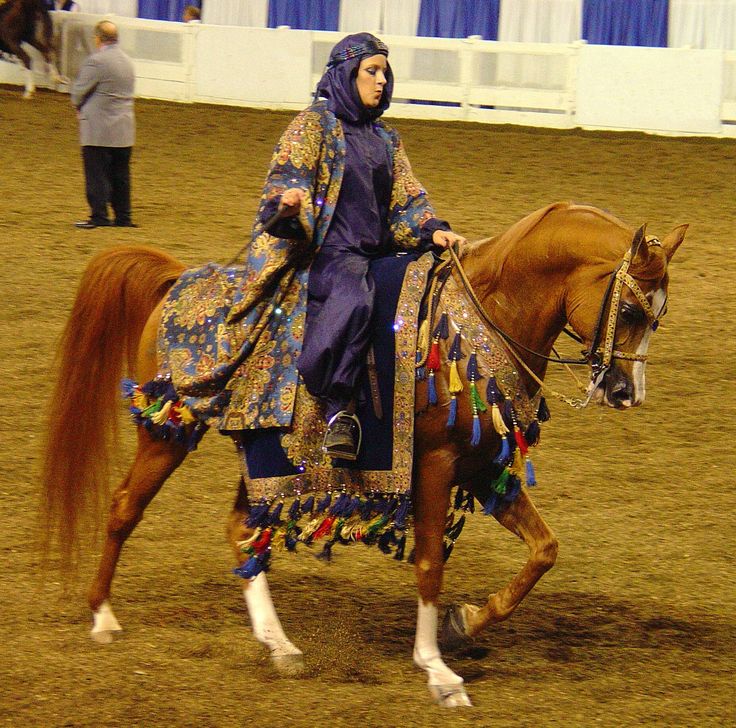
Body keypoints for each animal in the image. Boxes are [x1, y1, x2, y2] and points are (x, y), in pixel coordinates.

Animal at [40, 203, 688, 704]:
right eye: (632, 310)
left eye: (658, 316)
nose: (626, 392)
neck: (481, 323)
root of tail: (178, 278)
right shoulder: (434, 467)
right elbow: (429, 564)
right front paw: (437, 669)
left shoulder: (485, 470)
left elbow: (543, 551)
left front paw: (462, 624)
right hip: (167, 433)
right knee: (126, 506)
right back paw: (102, 616)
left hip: (264, 462)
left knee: (243, 531)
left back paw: (280, 645)